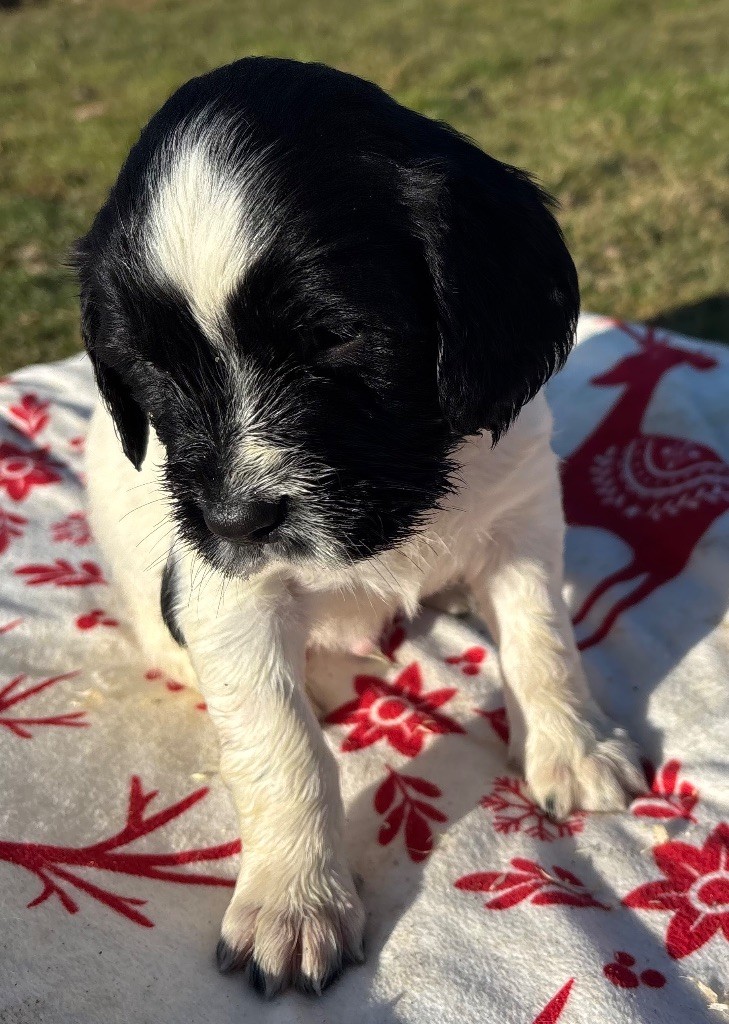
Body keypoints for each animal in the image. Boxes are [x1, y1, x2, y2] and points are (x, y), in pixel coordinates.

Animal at [74, 56, 642, 991]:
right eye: (148, 368)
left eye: (335, 339)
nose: (233, 516)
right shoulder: (227, 591)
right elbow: (279, 743)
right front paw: (292, 902)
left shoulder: (519, 513)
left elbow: (542, 641)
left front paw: (573, 750)